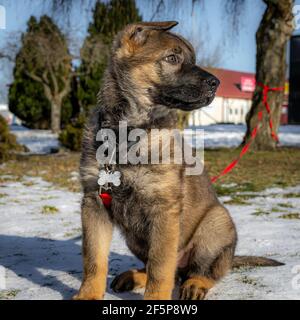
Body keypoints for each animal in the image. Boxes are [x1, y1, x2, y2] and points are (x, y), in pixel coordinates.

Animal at [74, 20, 282, 300]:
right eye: (172, 58)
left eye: (193, 59)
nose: (216, 82)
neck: (126, 133)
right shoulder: (93, 203)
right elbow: (94, 259)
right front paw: (88, 295)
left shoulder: (164, 209)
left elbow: (161, 268)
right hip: (135, 239)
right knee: (163, 268)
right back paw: (134, 276)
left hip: (214, 225)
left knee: (201, 271)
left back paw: (195, 284)